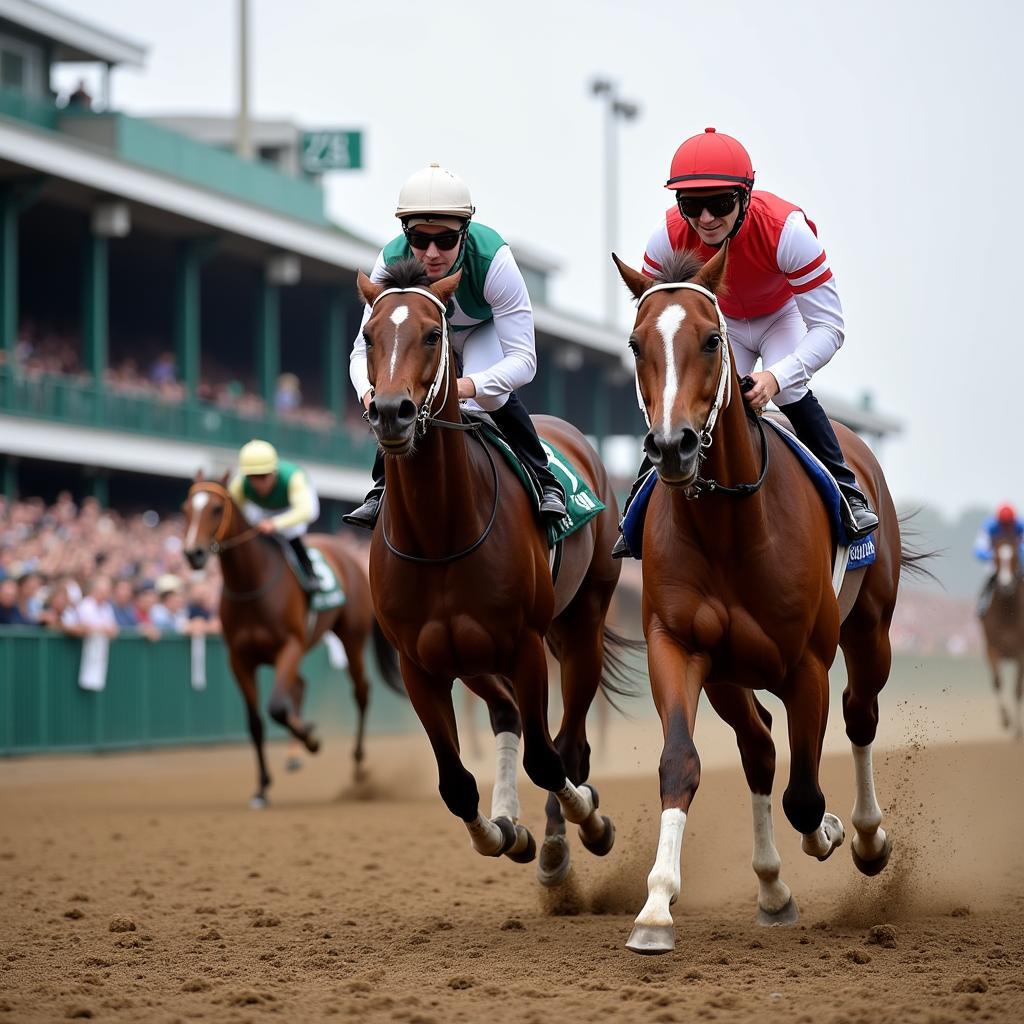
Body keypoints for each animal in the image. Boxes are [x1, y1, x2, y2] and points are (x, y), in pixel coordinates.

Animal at [182, 473, 405, 806]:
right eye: (186, 508)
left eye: (216, 509)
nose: (192, 553)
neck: (252, 584)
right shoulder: (239, 659)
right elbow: (256, 723)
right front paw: (262, 786)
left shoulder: (290, 646)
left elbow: (276, 708)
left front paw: (311, 738)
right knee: (300, 686)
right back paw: (296, 751)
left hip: (351, 637)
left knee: (361, 692)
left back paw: (357, 764)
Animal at [356, 260, 634, 884]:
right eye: (369, 335)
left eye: (431, 335)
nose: (390, 412)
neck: (440, 535)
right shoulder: (420, 664)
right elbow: (456, 784)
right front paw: (504, 833)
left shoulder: (526, 646)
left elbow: (547, 759)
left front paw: (587, 824)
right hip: (470, 655)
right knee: (508, 714)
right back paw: (516, 824)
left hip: (580, 623)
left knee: (570, 745)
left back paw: (564, 838)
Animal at [610, 245, 933, 950]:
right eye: (636, 343)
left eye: (711, 339)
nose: (672, 446)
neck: (729, 526)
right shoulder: (678, 645)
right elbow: (682, 762)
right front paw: (655, 907)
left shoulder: (804, 663)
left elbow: (805, 795)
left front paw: (836, 832)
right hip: (728, 675)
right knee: (758, 748)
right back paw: (771, 887)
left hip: (871, 628)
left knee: (859, 713)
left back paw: (866, 837)